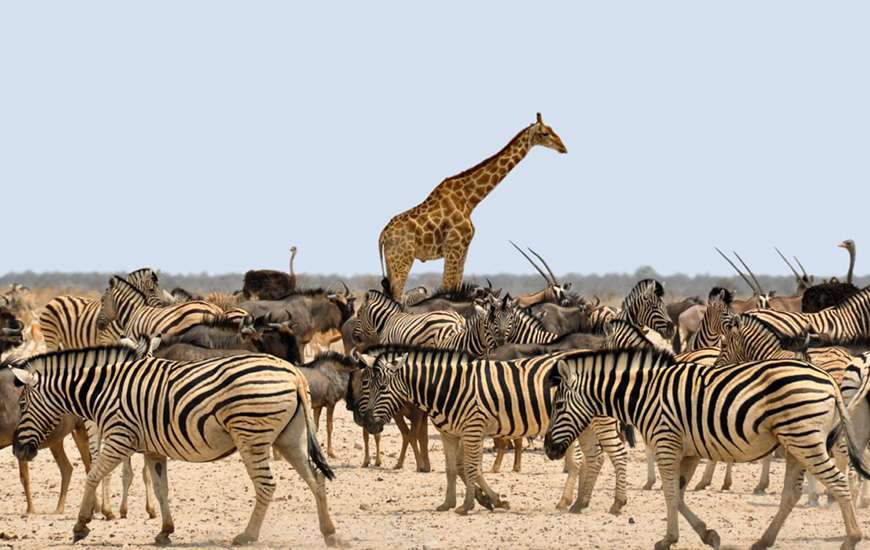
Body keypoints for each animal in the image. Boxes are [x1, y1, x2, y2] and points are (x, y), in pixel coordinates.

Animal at [9, 348, 340, 548]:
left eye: (22, 405)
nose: (17, 451)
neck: (102, 391)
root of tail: (292, 372)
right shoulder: (153, 449)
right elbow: (161, 489)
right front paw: (165, 531)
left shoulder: (118, 437)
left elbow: (92, 476)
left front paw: (81, 525)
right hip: (290, 438)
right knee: (316, 479)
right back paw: (329, 533)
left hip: (251, 435)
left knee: (267, 485)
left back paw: (247, 536)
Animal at [362, 350, 632, 516]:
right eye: (369, 386)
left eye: (383, 387)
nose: (370, 424)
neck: (446, 387)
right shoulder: (451, 434)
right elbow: (453, 469)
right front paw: (452, 503)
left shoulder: (473, 429)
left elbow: (471, 468)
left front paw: (469, 505)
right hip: (583, 424)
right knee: (595, 458)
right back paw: (578, 503)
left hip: (599, 421)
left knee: (616, 455)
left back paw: (615, 504)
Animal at [378, 113, 568, 302]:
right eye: (545, 133)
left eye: (552, 129)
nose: (563, 148)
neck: (470, 200)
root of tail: (382, 236)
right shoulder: (454, 247)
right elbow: (447, 287)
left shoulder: (464, 248)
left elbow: (456, 285)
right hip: (402, 260)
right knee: (397, 297)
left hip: (392, 262)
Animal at [544, 350, 870, 550]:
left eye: (558, 405)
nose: (548, 449)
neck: (644, 394)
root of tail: (828, 379)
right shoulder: (687, 451)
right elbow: (679, 494)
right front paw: (707, 534)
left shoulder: (666, 442)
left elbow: (670, 494)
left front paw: (668, 539)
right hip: (794, 443)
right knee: (791, 494)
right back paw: (763, 541)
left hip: (804, 438)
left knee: (838, 482)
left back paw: (852, 538)